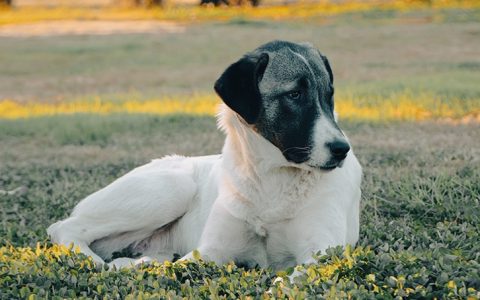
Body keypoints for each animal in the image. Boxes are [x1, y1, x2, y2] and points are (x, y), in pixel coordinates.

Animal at [49, 40, 364, 272]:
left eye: (328, 94)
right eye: (295, 94)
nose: (341, 149)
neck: (271, 180)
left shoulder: (321, 253)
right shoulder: (211, 251)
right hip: (172, 188)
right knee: (64, 227)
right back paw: (94, 262)